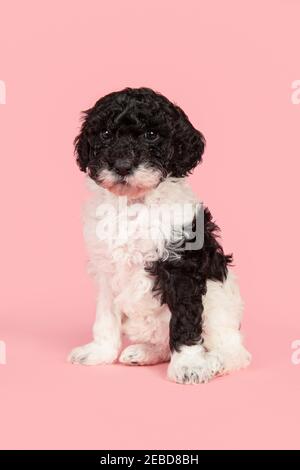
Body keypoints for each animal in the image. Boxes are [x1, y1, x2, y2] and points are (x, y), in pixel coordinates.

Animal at [68, 86, 251, 384]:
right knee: (164, 343)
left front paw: (189, 365)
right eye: (105, 134)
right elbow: (105, 318)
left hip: (219, 309)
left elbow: (185, 323)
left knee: (235, 353)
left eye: (151, 134)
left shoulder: (182, 269)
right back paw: (144, 352)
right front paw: (98, 352)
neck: (135, 204)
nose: (122, 165)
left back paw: (214, 362)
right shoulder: (105, 269)